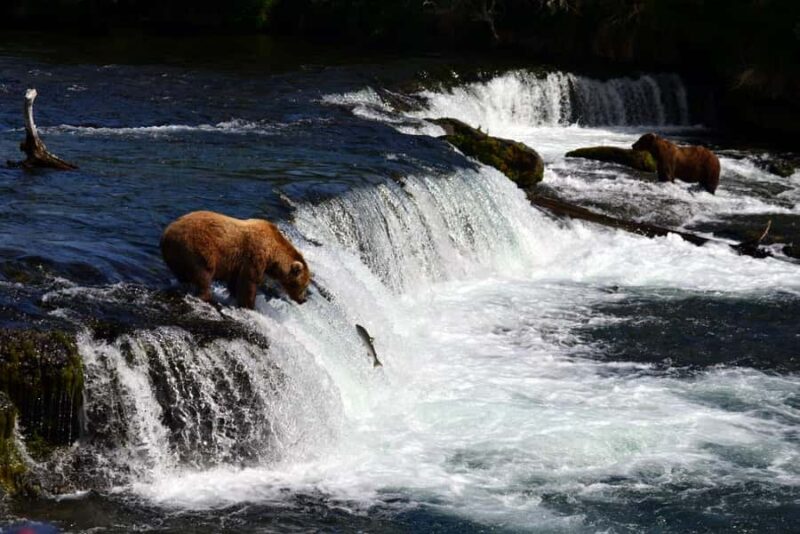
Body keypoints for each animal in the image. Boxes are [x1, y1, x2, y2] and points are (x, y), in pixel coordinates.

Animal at [160, 210, 310, 309]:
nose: (303, 300)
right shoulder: (255, 256)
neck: (272, 255)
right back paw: (204, 296)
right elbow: (249, 282)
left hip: (176, 255)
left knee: (183, 275)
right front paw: (249, 305)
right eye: (303, 285)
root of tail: (167, 233)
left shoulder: (236, 264)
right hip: (197, 247)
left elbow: (234, 281)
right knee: (204, 273)